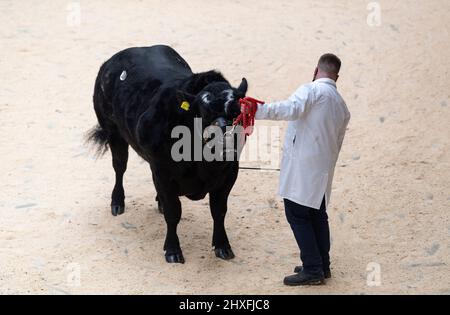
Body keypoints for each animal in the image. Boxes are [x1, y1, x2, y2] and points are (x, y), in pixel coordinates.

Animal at [89, 44, 250, 264]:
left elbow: (219, 211)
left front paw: (223, 246)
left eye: (236, 111)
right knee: (119, 166)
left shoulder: (230, 173)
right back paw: (117, 203)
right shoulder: (164, 173)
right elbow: (174, 213)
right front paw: (173, 250)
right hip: (113, 132)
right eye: (203, 112)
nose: (223, 136)